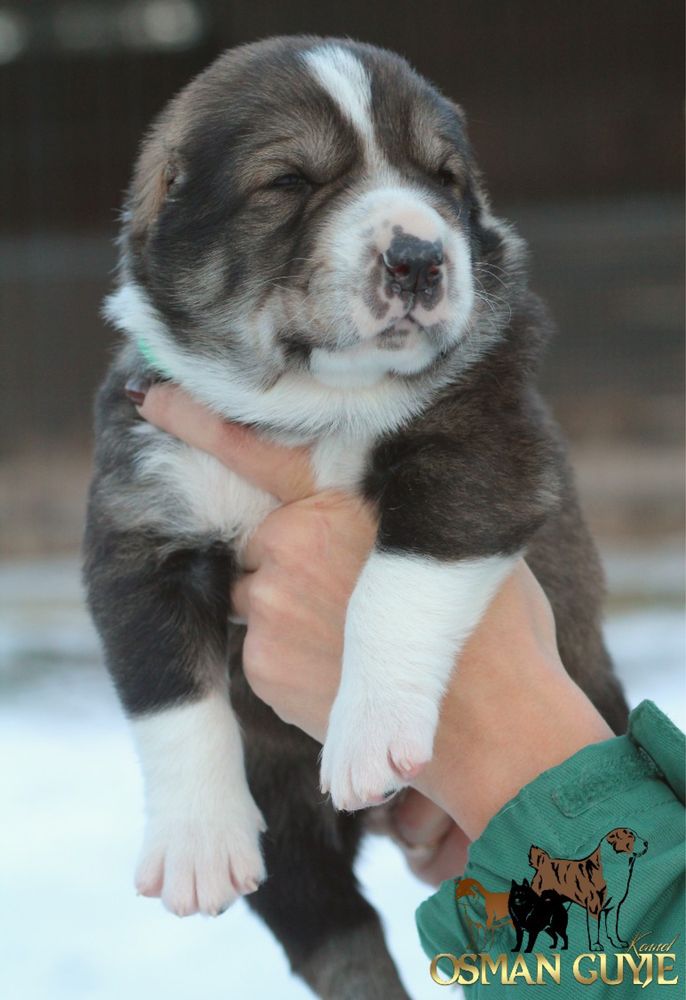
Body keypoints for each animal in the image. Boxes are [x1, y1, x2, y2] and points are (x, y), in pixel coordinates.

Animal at [84, 35, 628, 996]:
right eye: (290, 181)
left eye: (444, 180)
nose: (418, 256)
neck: (313, 404)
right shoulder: (137, 528)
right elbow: (168, 693)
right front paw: (194, 845)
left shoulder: (484, 448)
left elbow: (394, 587)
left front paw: (369, 737)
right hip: (295, 847)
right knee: (338, 934)